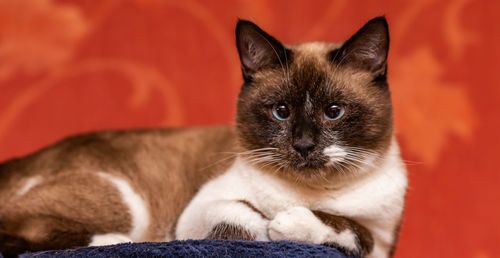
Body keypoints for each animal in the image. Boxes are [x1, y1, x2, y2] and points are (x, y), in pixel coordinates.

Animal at [0, 16, 406, 258]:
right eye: (282, 112)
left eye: (333, 112)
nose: (304, 146)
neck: (314, 192)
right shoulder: (200, 211)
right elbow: (248, 221)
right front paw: (275, 227)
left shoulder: (382, 240)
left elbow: (356, 231)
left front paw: (290, 224)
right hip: (131, 202)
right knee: (21, 236)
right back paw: (123, 242)